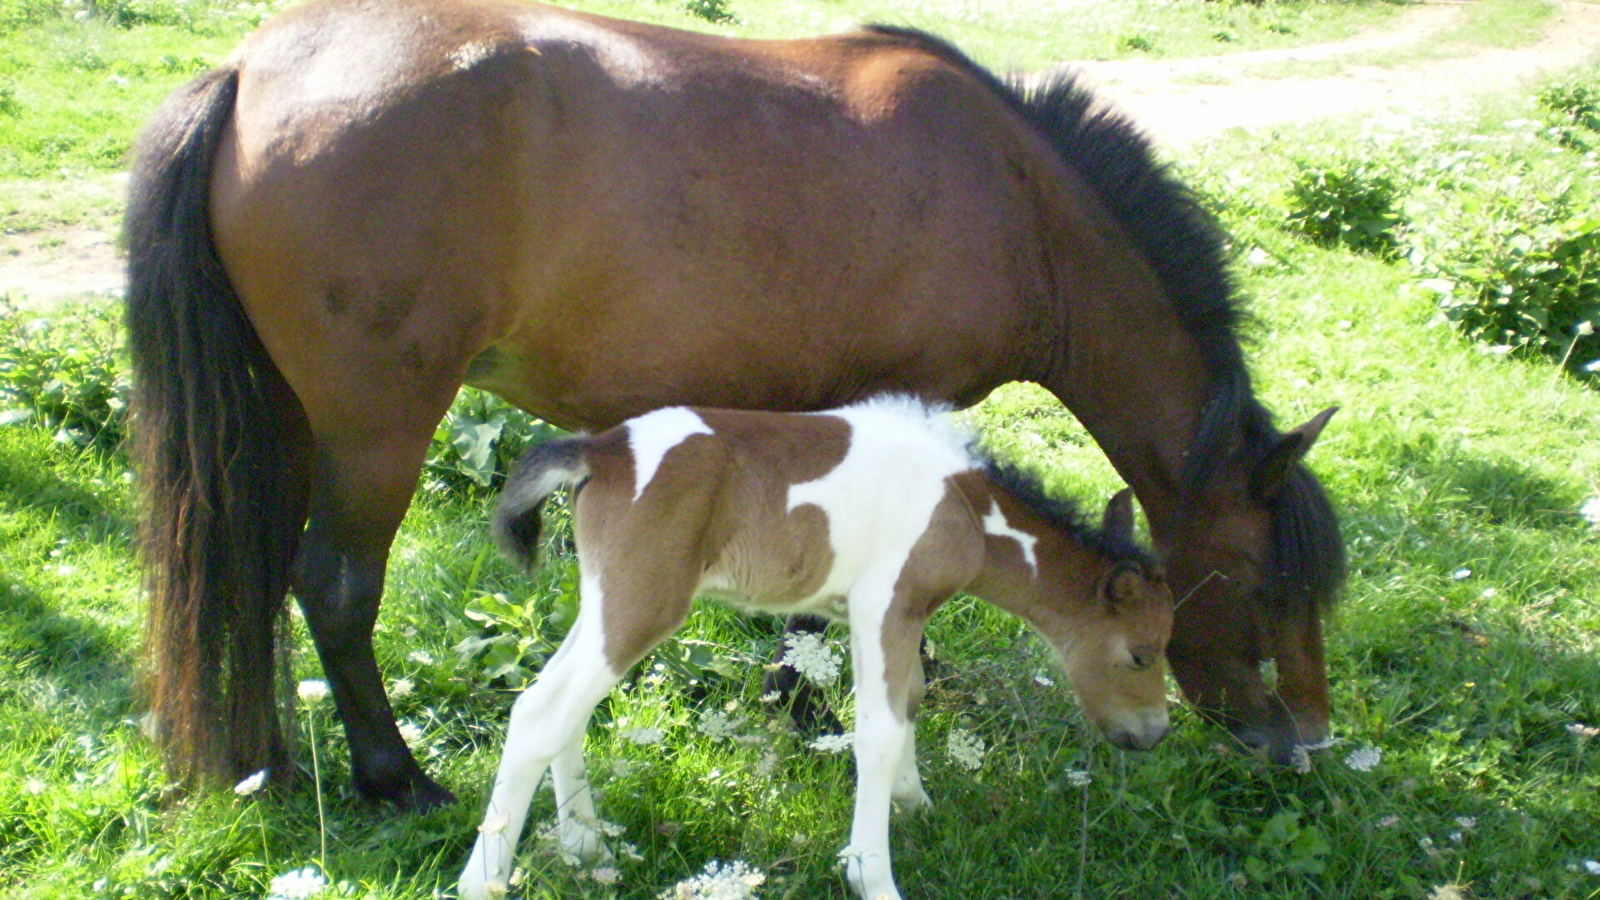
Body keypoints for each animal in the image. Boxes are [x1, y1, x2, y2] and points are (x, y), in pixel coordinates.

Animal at [128, 0, 1337, 807]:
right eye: (1261, 589)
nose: (1301, 744)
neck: (1019, 207)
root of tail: (247, 71)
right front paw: (821, 705)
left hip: (291, 420)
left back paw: (265, 763)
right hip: (380, 424)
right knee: (334, 587)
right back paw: (395, 779)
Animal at [457, 397, 1171, 896]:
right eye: (1140, 653)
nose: (1155, 733)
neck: (965, 508)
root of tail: (601, 450)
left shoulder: (895, 612)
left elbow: (909, 699)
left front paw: (915, 803)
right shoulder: (884, 603)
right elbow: (878, 730)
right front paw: (872, 874)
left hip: (606, 597)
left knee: (564, 710)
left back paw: (588, 848)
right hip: (643, 599)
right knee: (541, 712)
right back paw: (482, 880)